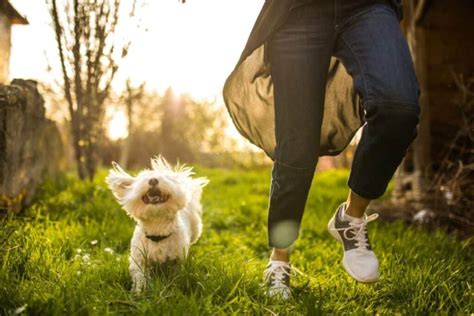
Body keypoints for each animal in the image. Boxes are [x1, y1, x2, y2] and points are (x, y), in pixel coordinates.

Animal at [105, 156, 209, 292]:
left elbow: (175, 275)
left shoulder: (177, 259)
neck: (157, 229)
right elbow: (140, 276)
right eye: (143, 178)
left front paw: (173, 287)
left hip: (195, 230)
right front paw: (139, 291)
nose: (153, 180)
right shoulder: (139, 258)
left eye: (166, 178)